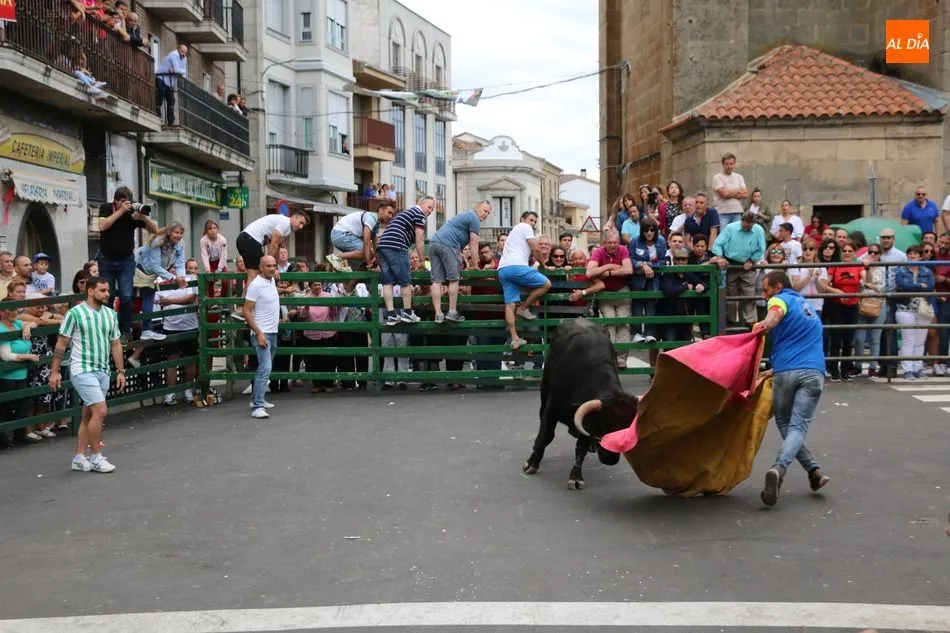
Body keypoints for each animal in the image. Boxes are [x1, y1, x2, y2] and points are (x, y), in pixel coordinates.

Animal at [522, 318, 640, 490]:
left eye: (627, 432)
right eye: (604, 428)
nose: (611, 460)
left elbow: (580, 449)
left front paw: (576, 477)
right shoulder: (552, 409)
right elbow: (547, 436)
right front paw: (532, 462)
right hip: (544, 390)